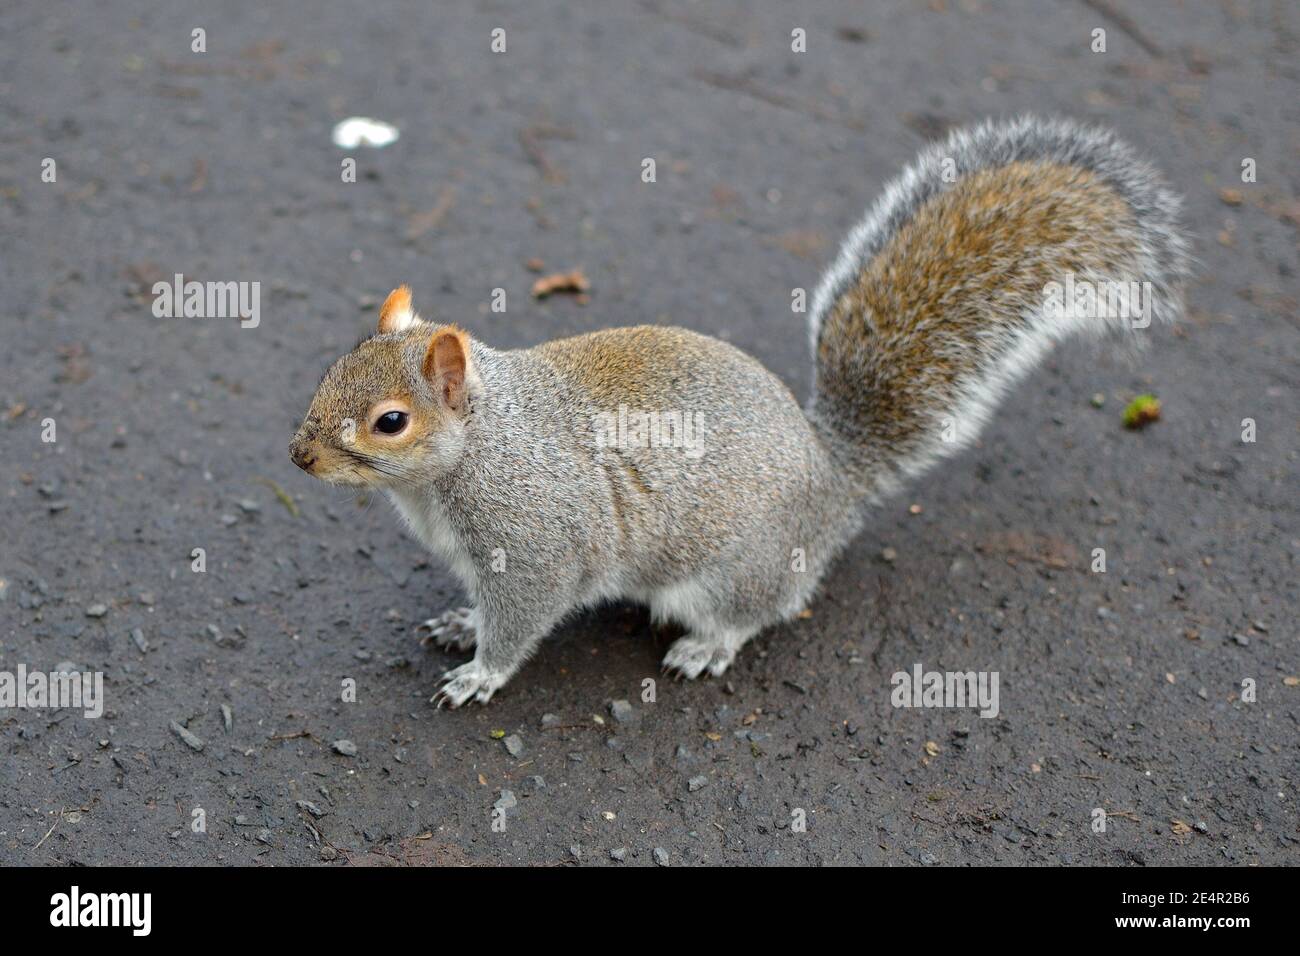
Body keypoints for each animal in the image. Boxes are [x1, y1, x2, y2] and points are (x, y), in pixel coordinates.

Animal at [289, 116, 1190, 707]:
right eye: (332, 367)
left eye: (391, 421)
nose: (300, 456)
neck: (474, 452)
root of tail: (831, 478)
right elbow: (482, 605)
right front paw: (458, 622)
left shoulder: (536, 541)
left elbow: (523, 619)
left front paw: (481, 672)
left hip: (734, 567)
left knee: (761, 610)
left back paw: (706, 647)